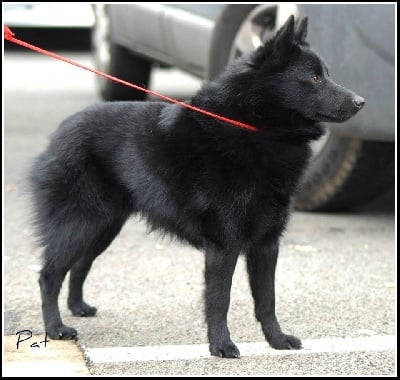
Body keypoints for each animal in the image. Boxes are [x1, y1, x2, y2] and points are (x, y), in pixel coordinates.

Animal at [29, 15, 364, 360]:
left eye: (327, 74)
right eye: (314, 77)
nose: (360, 102)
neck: (254, 126)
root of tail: (59, 133)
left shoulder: (267, 244)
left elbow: (267, 300)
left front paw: (277, 339)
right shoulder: (224, 245)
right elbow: (219, 300)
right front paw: (221, 345)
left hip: (103, 227)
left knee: (79, 264)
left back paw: (77, 306)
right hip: (80, 224)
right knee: (48, 275)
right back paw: (55, 328)